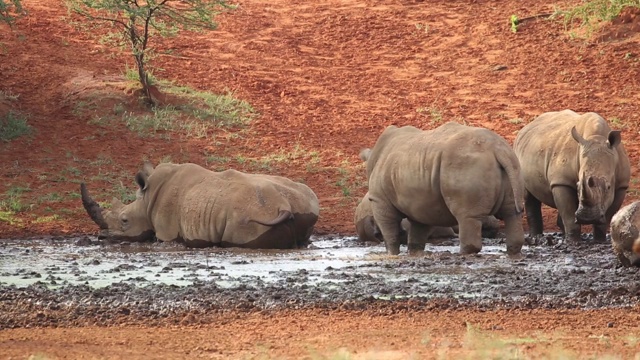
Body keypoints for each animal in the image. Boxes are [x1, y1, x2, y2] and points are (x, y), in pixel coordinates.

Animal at [80, 162, 320, 249]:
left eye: (124, 221)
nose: (101, 236)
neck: (146, 201)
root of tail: (283, 207)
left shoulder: (166, 232)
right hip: (302, 202)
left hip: (247, 219)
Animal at [362, 124, 524, 256]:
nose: (375, 234)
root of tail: (496, 149)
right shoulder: (420, 201)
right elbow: (419, 228)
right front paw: (415, 252)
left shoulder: (379, 199)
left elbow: (389, 228)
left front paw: (392, 253)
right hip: (512, 162)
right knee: (512, 213)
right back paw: (513, 251)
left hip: (465, 165)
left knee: (467, 216)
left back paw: (463, 253)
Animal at [512, 109, 628, 243]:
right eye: (578, 186)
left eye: (608, 187)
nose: (587, 218)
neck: (596, 137)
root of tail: (526, 127)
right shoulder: (561, 182)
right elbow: (568, 214)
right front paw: (573, 242)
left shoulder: (621, 186)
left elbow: (608, 216)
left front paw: (599, 240)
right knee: (529, 196)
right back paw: (537, 237)